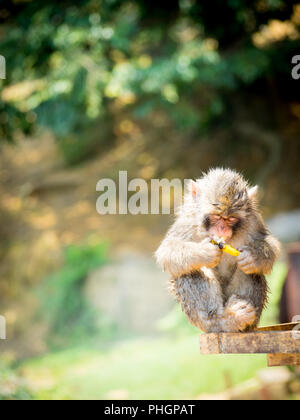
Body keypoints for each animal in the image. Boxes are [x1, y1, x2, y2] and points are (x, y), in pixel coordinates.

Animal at [156, 167, 280, 332]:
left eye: (231, 219)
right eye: (216, 217)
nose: (222, 229)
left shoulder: (253, 220)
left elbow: (269, 242)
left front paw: (253, 257)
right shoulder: (188, 220)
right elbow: (167, 250)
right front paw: (204, 253)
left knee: (251, 271)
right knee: (190, 270)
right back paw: (224, 320)